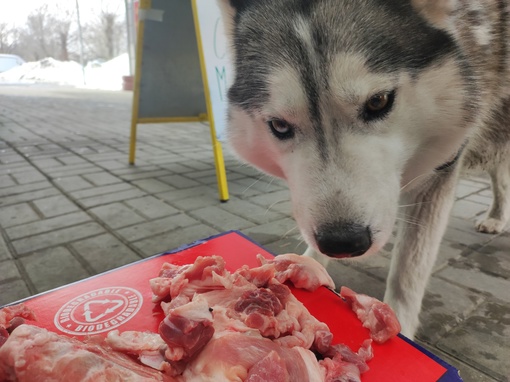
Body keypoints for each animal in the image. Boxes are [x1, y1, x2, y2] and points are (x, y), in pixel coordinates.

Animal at [216, 0, 510, 338]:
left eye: (378, 101)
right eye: (279, 125)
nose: (342, 243)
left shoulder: (442, 168)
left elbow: (408, 270)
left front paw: (399, 321)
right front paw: (307, 264)